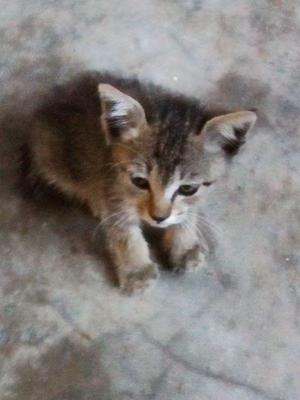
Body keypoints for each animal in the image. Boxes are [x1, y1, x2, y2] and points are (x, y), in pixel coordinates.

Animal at [24, 72, 256, 294]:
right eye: (139, 181)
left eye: (188, 188)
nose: (159, 218)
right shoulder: (112, 189)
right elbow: (125, 232)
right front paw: (137, 270)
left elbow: (188, 213)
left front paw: (184, 246)